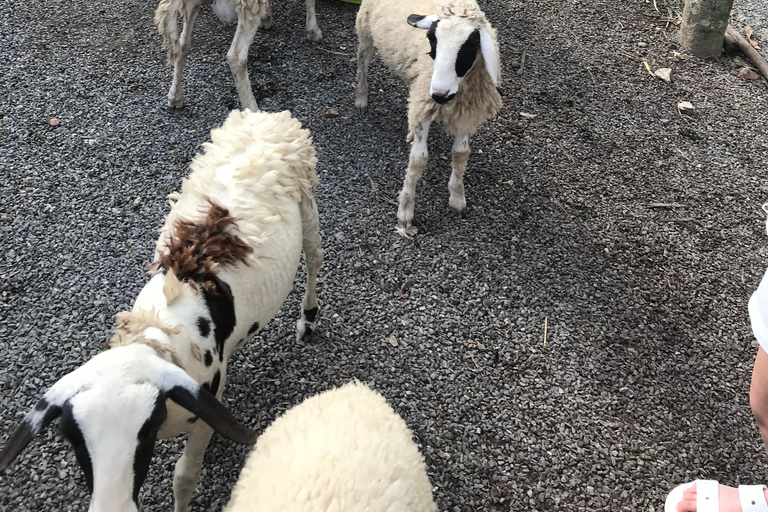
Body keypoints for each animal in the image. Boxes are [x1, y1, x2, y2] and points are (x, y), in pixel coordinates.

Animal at [0, 110, 324, 512]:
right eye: (71, 435)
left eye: (148, 426)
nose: (113, 506)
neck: (157, 332)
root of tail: (261, 116)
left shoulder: (200, 418)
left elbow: (184, 478)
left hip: (308, 206)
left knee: (314, 258)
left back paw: (308, 317)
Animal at [154, 0, 322, 110]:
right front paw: (313, 30)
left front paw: (266, 16)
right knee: (236, 57)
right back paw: (253, 110)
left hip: (191, 5)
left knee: (183, 46)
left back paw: (175, 96)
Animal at [356, 0, 504, 236]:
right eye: (431, 39)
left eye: (471, 46)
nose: (439, 94)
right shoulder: (424, 107)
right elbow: (418, 160)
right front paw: (405, 213)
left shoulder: (466, 112)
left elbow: (460, 154)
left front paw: (457, 198)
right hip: (365, 28)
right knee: (362, 60)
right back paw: (361, 97)